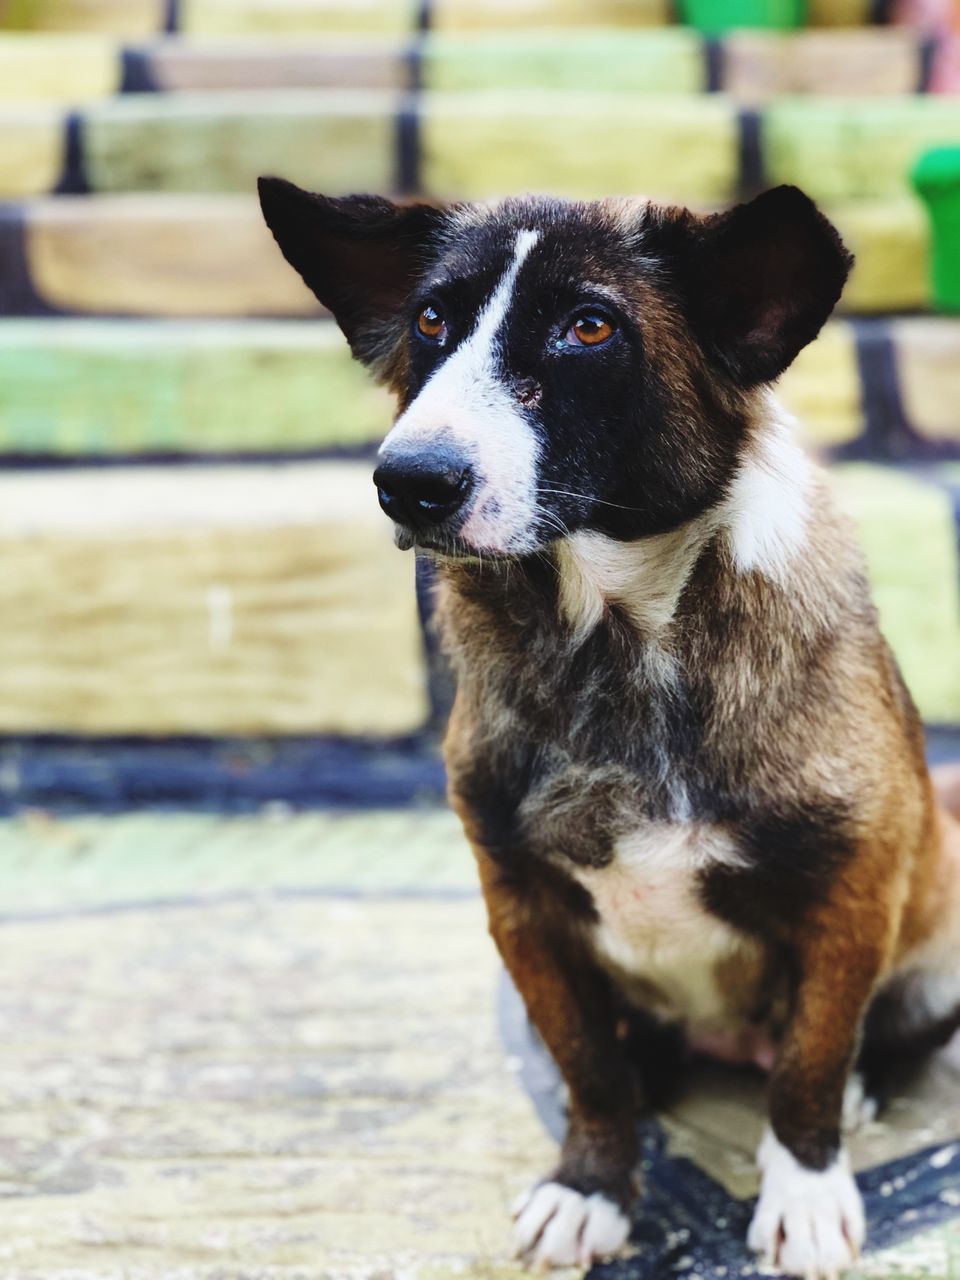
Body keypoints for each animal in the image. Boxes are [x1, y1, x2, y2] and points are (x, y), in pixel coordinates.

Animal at [259, 183, 960, 1280]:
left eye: (589, 327)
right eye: (430, 321)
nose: (409, 481)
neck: (616, 640)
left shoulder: (849, 891)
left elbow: (810, 1058)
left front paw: (805, 1184)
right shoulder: (523, 911)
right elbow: (587, 1064)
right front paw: (591, 1183)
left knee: (854, 1040)